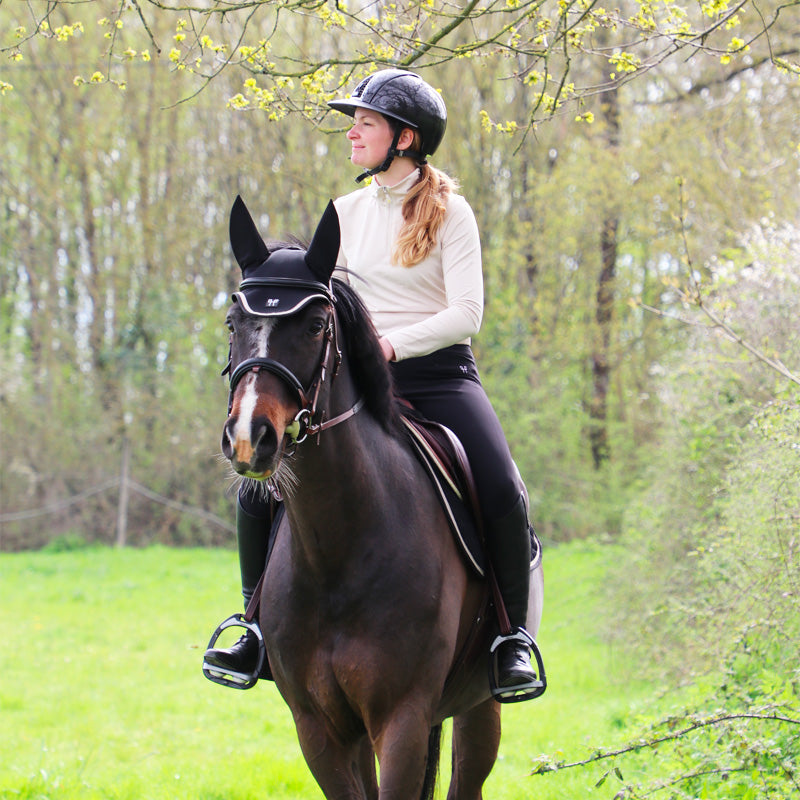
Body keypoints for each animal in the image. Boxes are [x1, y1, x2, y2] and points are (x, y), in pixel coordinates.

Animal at [217, 195, 544, 800]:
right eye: (234, 321)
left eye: (316, 324)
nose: (250, 437)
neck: (337, 550)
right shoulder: (319, 727)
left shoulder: (402, 719)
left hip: (479, 707)